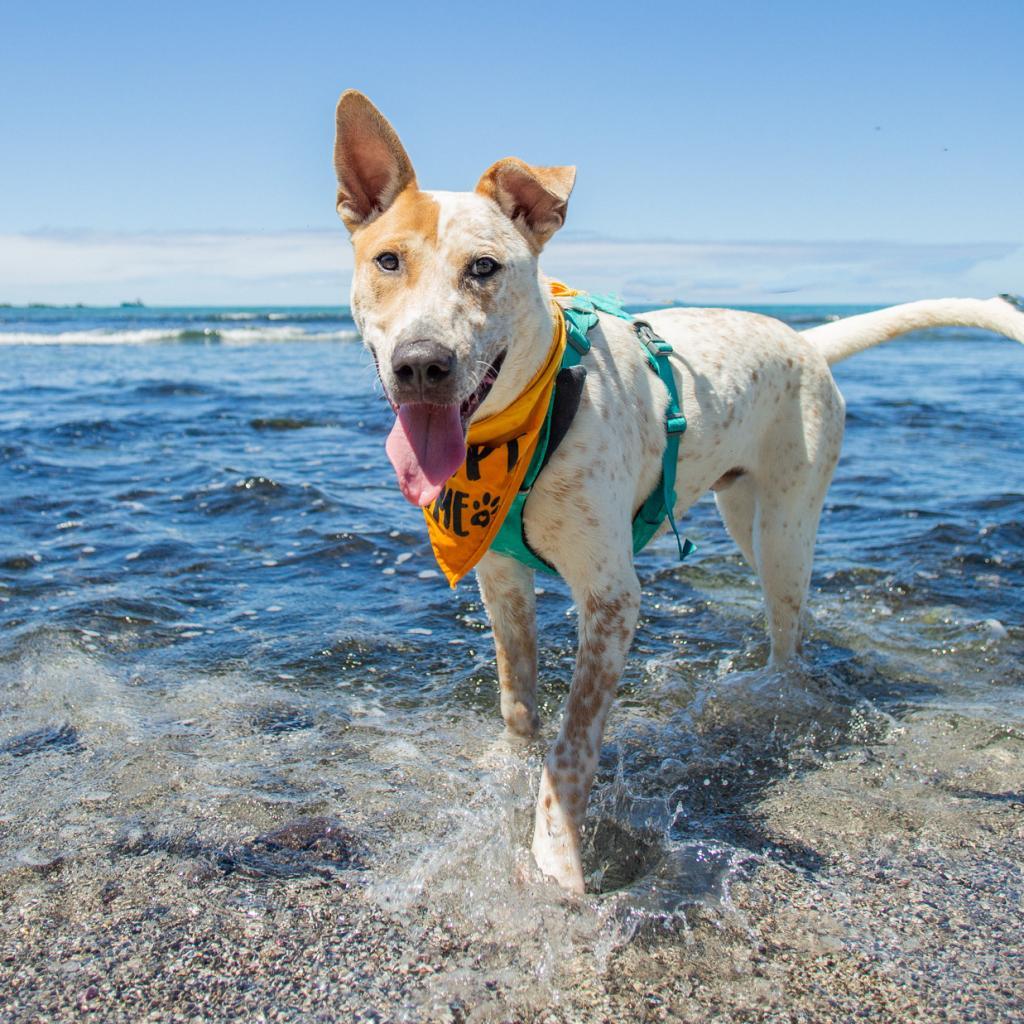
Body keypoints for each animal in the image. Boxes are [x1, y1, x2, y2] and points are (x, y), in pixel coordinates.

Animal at [333, 94, 1024, 897]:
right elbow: (518, 707)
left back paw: (772, 699)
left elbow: (571, 746)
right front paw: (509, 775)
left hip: (786, 527)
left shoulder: (611, 599)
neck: (526, 423)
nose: (421, 365)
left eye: (485, 267)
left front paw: (557, 855)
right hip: (741, 514)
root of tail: (809, 341)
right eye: (388, 260)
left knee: (789, 635)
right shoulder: (500, 581)